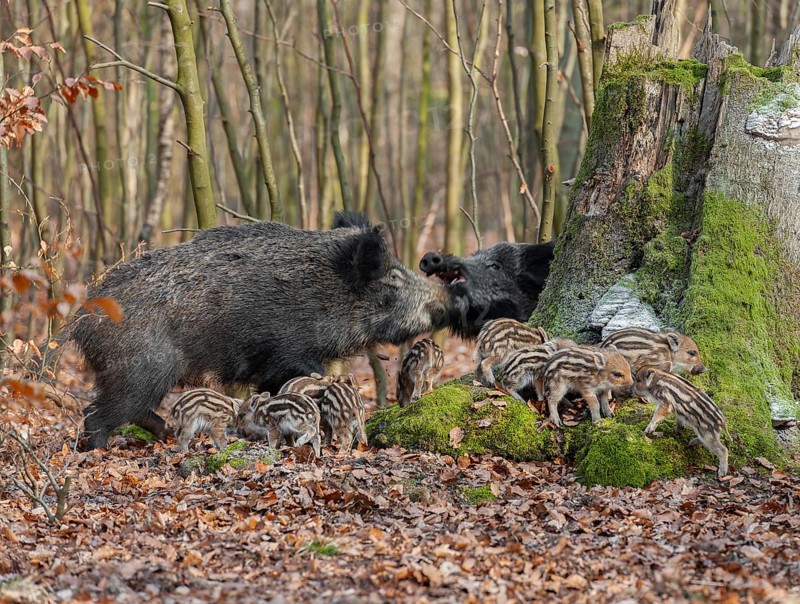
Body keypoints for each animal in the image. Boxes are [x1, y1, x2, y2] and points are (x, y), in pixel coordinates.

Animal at [68, 212, 450, 450]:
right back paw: (101, 449)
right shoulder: (288, 353)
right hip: (141, 370)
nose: (446, 300)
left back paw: (163, 435)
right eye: (393, 277)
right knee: (99, 413)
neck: (326, 293)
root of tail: (80, 322)